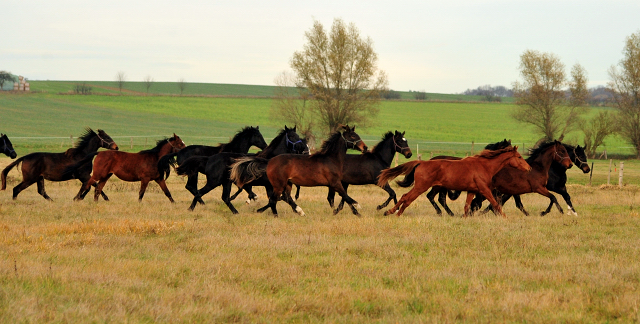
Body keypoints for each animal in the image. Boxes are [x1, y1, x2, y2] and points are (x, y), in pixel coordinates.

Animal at [175, 125, 304, 214]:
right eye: (292, 136)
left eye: (297, 136)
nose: (303, 149)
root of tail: (209, 158)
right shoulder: (269, 185)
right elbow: (279, 198)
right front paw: (298, 210)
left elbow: (279, 198)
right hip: (210, 180)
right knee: (197, 191)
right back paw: (192, 208)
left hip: (224, 182)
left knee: (223, 197)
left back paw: (235, 212)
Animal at [232, 125, 368, 216]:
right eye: (352, 136)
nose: (365, 147)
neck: (331, 159)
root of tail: (270, 161)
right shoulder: (335, 183)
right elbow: (346, 196)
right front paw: (358, 208)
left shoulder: (334, 184)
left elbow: (342, 197)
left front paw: (353, 211)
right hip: (278, 184)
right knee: (273, 199)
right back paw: (276, 214)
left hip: (287, 184)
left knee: (283, 197)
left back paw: (298, 211)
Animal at [378, 147, 532, 218]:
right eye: (519, 157)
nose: (529, 168)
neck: (484, 166)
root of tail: (421, 162)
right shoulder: (484, 190)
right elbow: (495, 203)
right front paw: (504, 217)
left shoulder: (472, 191)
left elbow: (467, 206)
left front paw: (464, 217)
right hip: (421, 187)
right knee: (407, 198)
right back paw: (395, 213)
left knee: (405, 197)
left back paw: (389, 211)